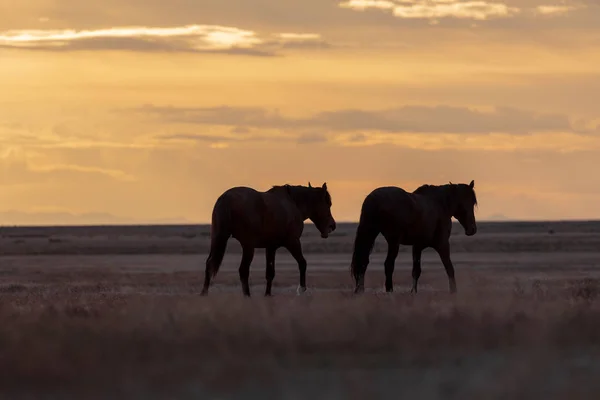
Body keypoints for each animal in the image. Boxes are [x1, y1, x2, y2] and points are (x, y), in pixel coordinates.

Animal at [200, 182, 332, 296]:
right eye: (328, 204)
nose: (332, 226)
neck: (293, 204)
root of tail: (226, 198)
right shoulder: (293, 242)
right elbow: (302, 263)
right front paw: (302, 289)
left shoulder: (271, 247)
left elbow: (270, 273)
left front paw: (267, 294)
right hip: (248, 246)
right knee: (243, 270)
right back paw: (247, 296)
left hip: (218, 239)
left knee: (210, 264)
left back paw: (204, 293)